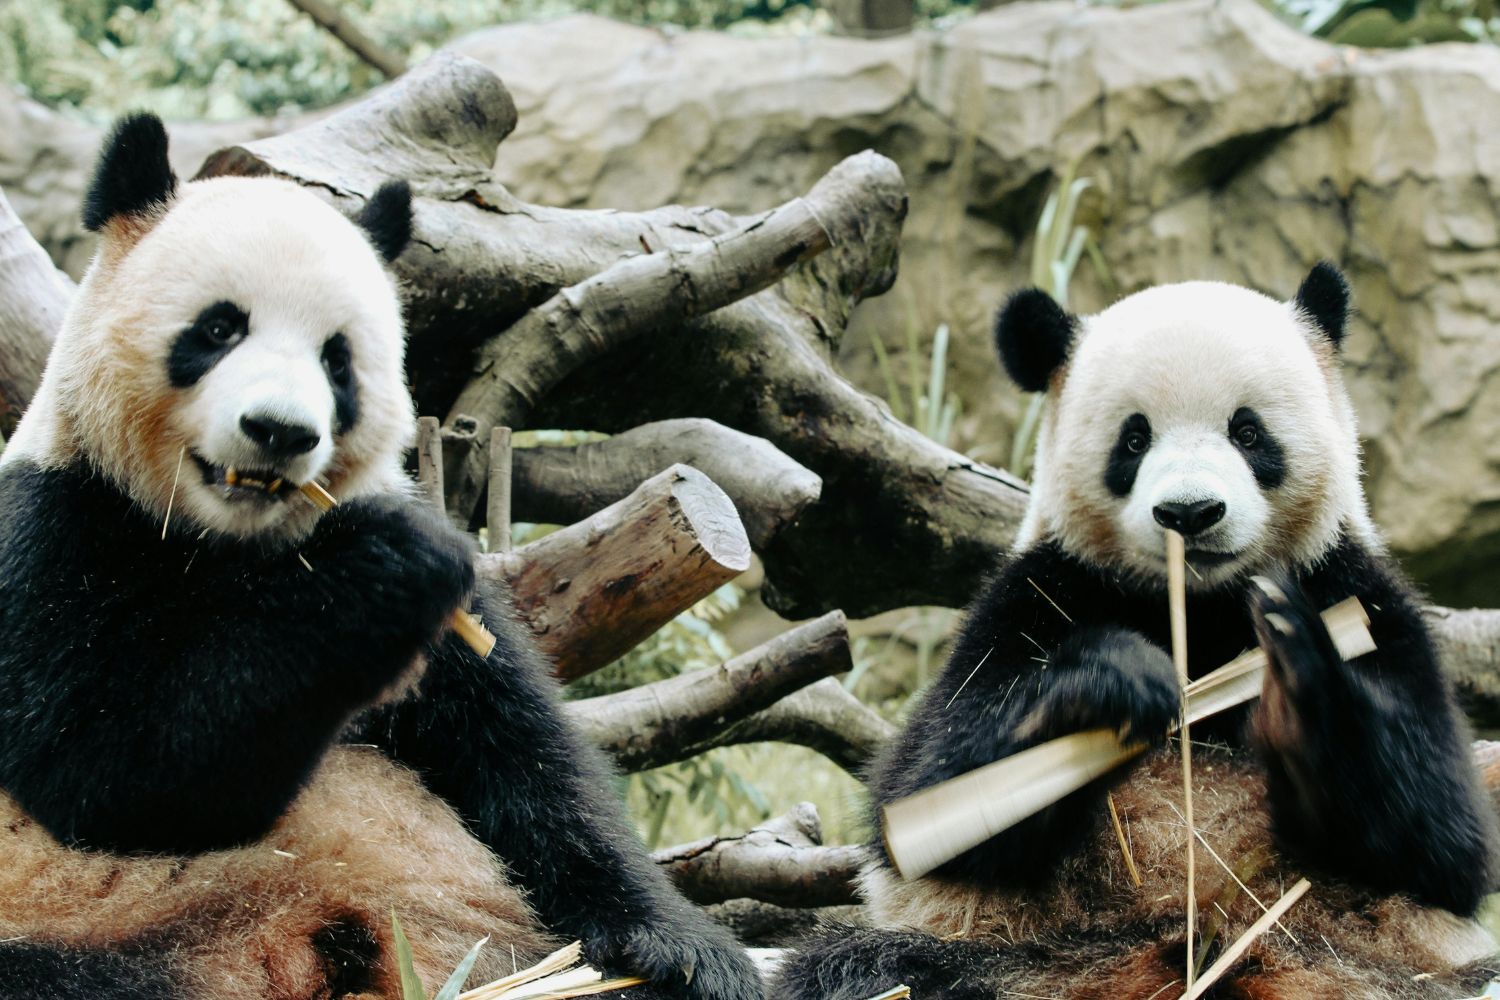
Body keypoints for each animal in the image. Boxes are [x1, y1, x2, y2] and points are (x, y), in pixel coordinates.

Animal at [0, 113, 762, 1000]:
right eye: (220, 328)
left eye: (338, 359)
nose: (280, 432)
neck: (229, 540)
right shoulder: (52, 532)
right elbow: (103, 776)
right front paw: (384, 573)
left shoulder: (447, 625)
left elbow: (523, 765)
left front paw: (687, 952)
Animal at [773, 266, 1499, 999]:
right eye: (1133, 439)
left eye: (1248, 432)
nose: (1190, 512)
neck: (1200, 610)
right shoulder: (1036, 595)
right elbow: (930, 787)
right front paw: (1113, 682)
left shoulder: (1357, 594)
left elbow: (1445, 837)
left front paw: (1299, 688)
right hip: (1013, 959)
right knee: (863, 968)